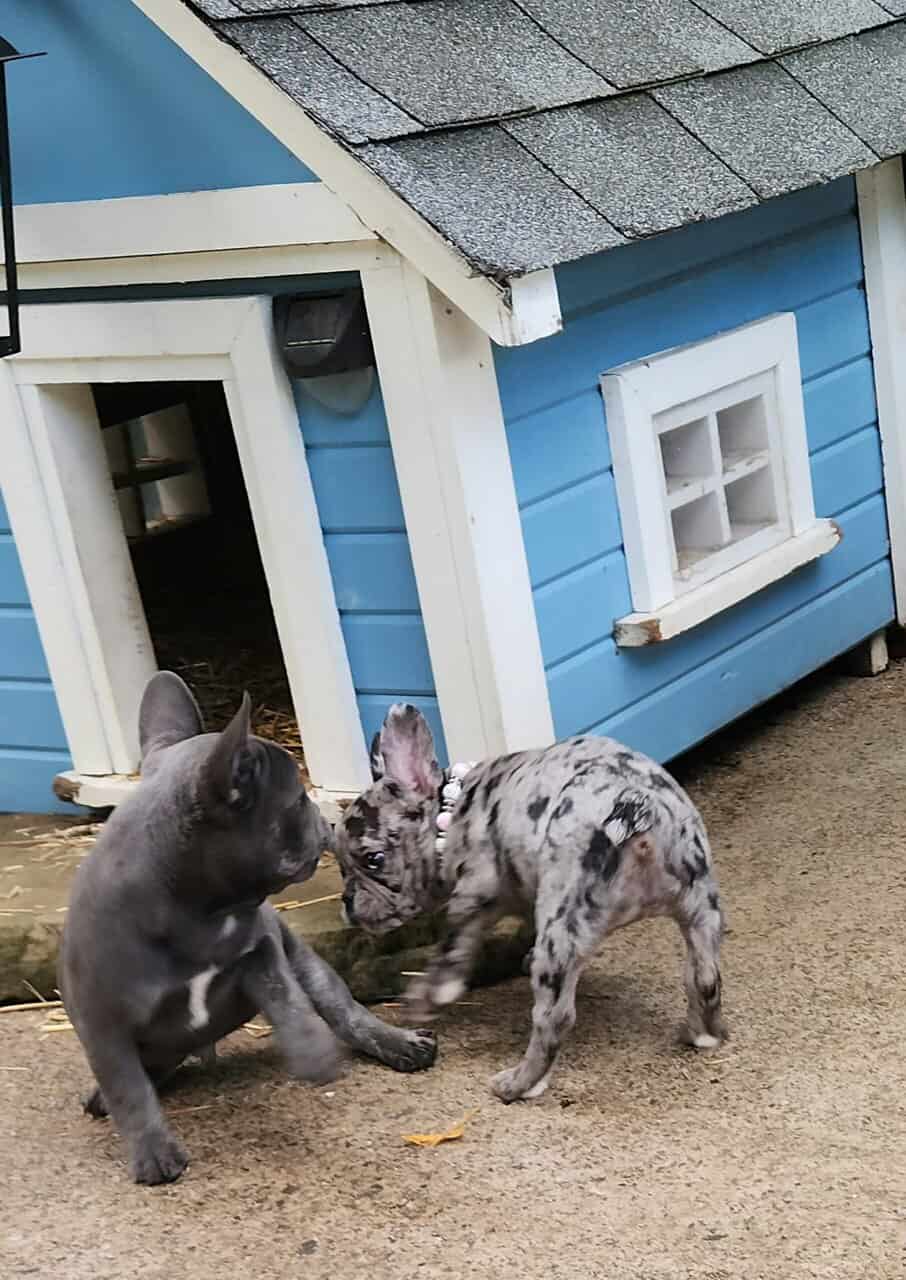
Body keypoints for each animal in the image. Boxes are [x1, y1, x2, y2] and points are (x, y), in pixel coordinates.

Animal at [60, 673, 436, 1184]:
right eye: (297, 800)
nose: (326, 823)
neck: (199, 911)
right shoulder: (103, 1024)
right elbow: (128, 1088)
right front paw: (153, 1152)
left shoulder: (262, 951)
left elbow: (287, 999)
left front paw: (312, 1051)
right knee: (142, 1075)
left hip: (313, 969)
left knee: (344, 1010)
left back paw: (398, 1044)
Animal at [336, 704, 726, 1103]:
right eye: (340, 868)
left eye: (374, 860)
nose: (348, 899)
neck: (454, 809)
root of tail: (636, 805)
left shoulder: (472, 896)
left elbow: (451, 951)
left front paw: (427, 999)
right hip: (700, 907)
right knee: (705, 978)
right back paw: (702, 1032)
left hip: (562, 931)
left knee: (554, 1019)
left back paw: (519, 1083)